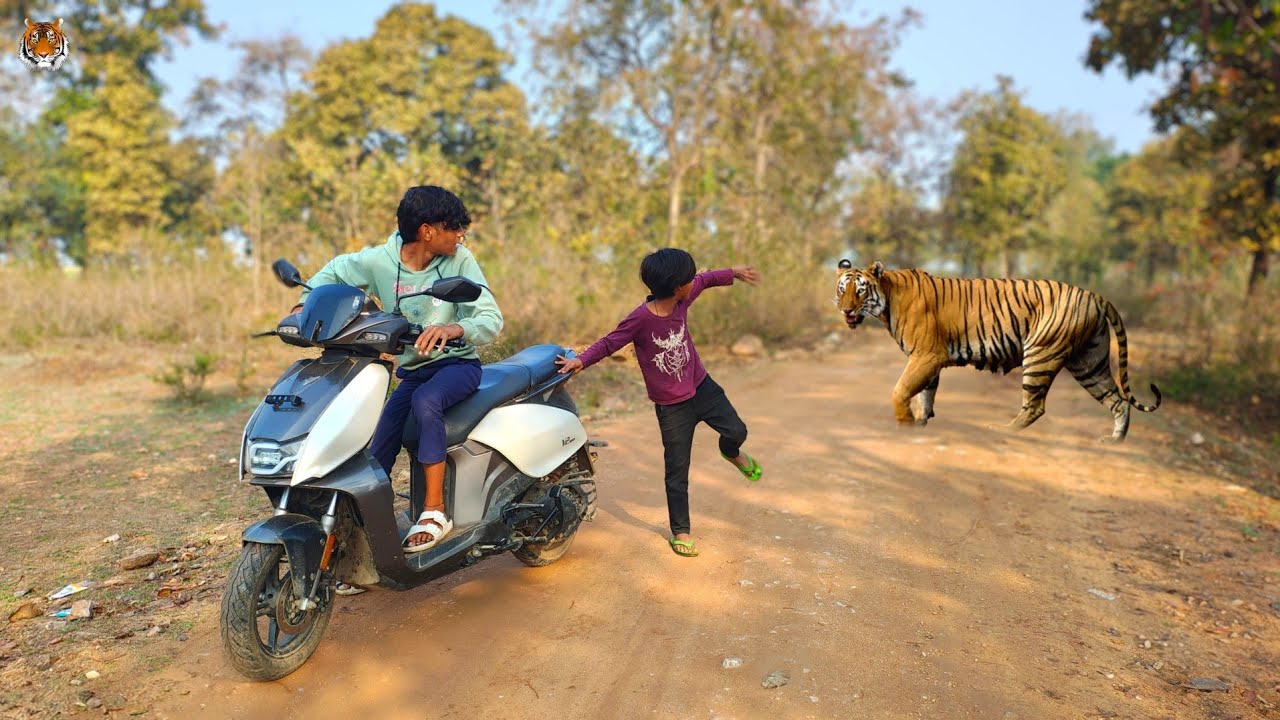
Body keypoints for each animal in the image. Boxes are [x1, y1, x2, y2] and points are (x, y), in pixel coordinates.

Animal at [833, 259, 1161, 441]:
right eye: (841, 289)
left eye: (860, 290)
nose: (846, 310)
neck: (887, 298)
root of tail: (1095, 295)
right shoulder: (928, 360)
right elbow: (925, 394)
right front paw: (920, 422)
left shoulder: (926, 355)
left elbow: (901, 389)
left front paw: (905, 424)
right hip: (1089, 362)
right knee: (1118, 400)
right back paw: (1114, 440)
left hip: (1041, 354)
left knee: (1035, 406)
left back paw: (1002, 430)